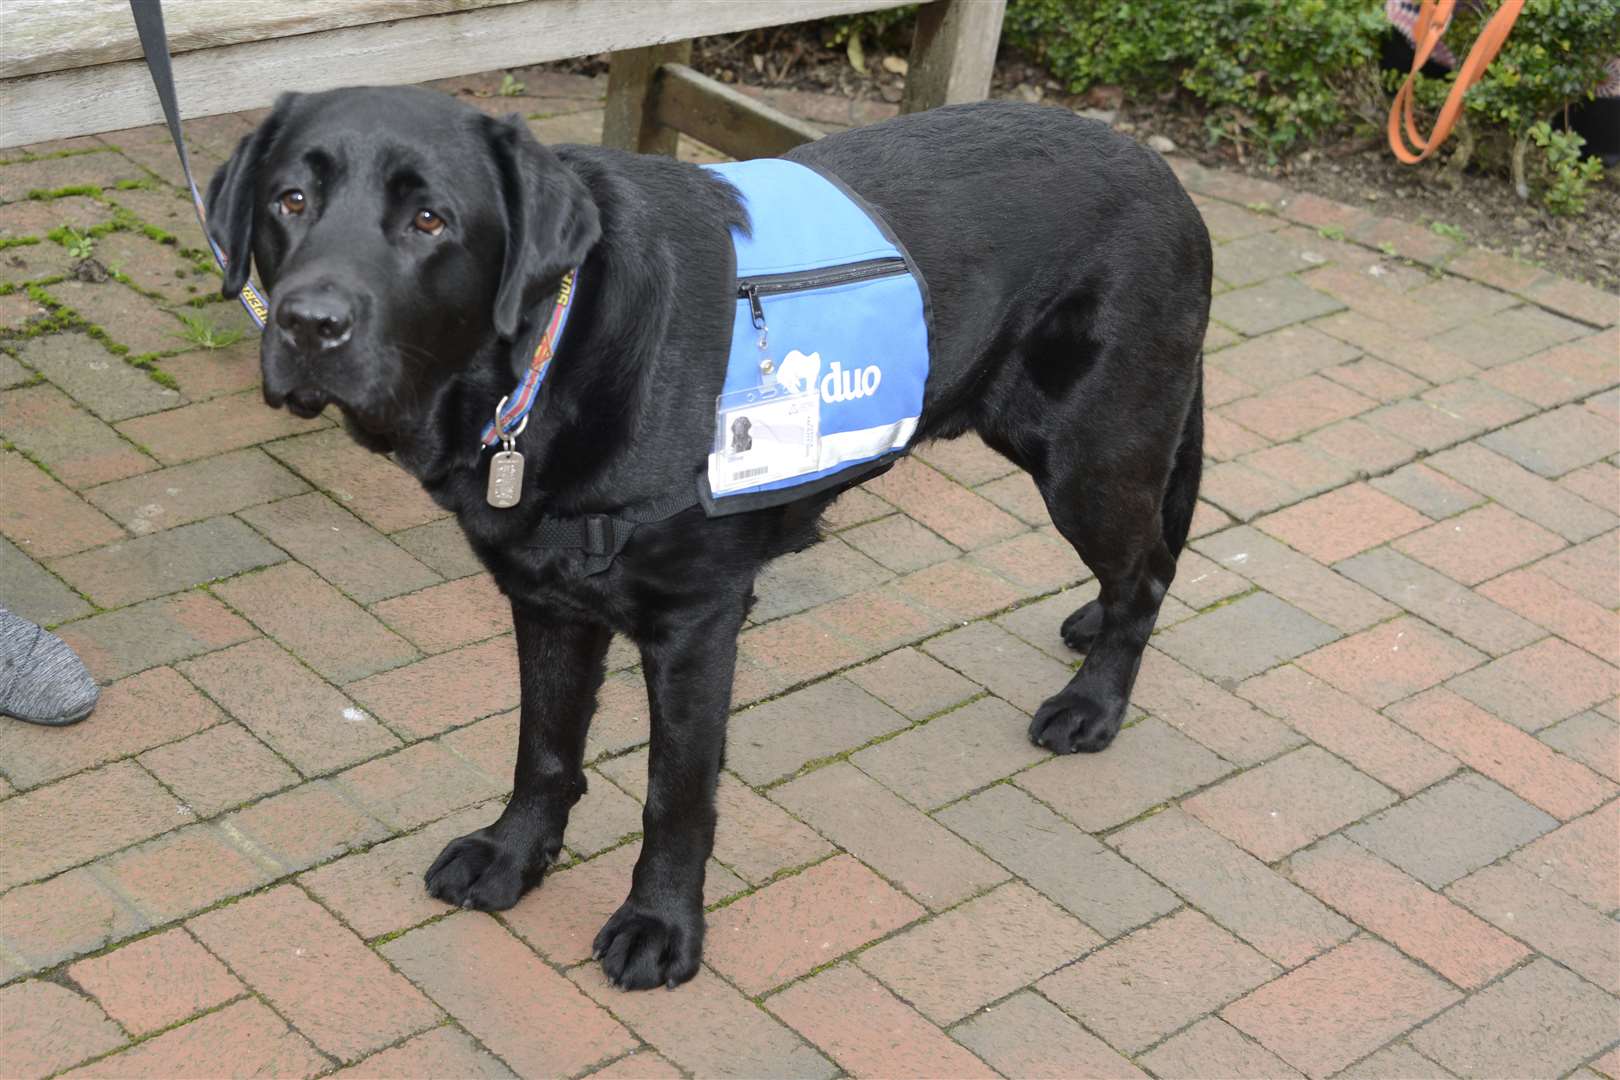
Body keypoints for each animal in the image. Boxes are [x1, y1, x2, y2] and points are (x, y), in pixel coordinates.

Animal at [208, 88, 1211, 990]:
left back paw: (1093, 704)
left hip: (1090, 456)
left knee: (1151, 569)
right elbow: (544, 748)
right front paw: (512, 856)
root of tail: (1163, 173)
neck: (558, 357)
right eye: (289, 201)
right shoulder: (548, 600)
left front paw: (659, 926)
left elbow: (675, 795)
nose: (307, 323)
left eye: (430, 220)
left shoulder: (696, 623)